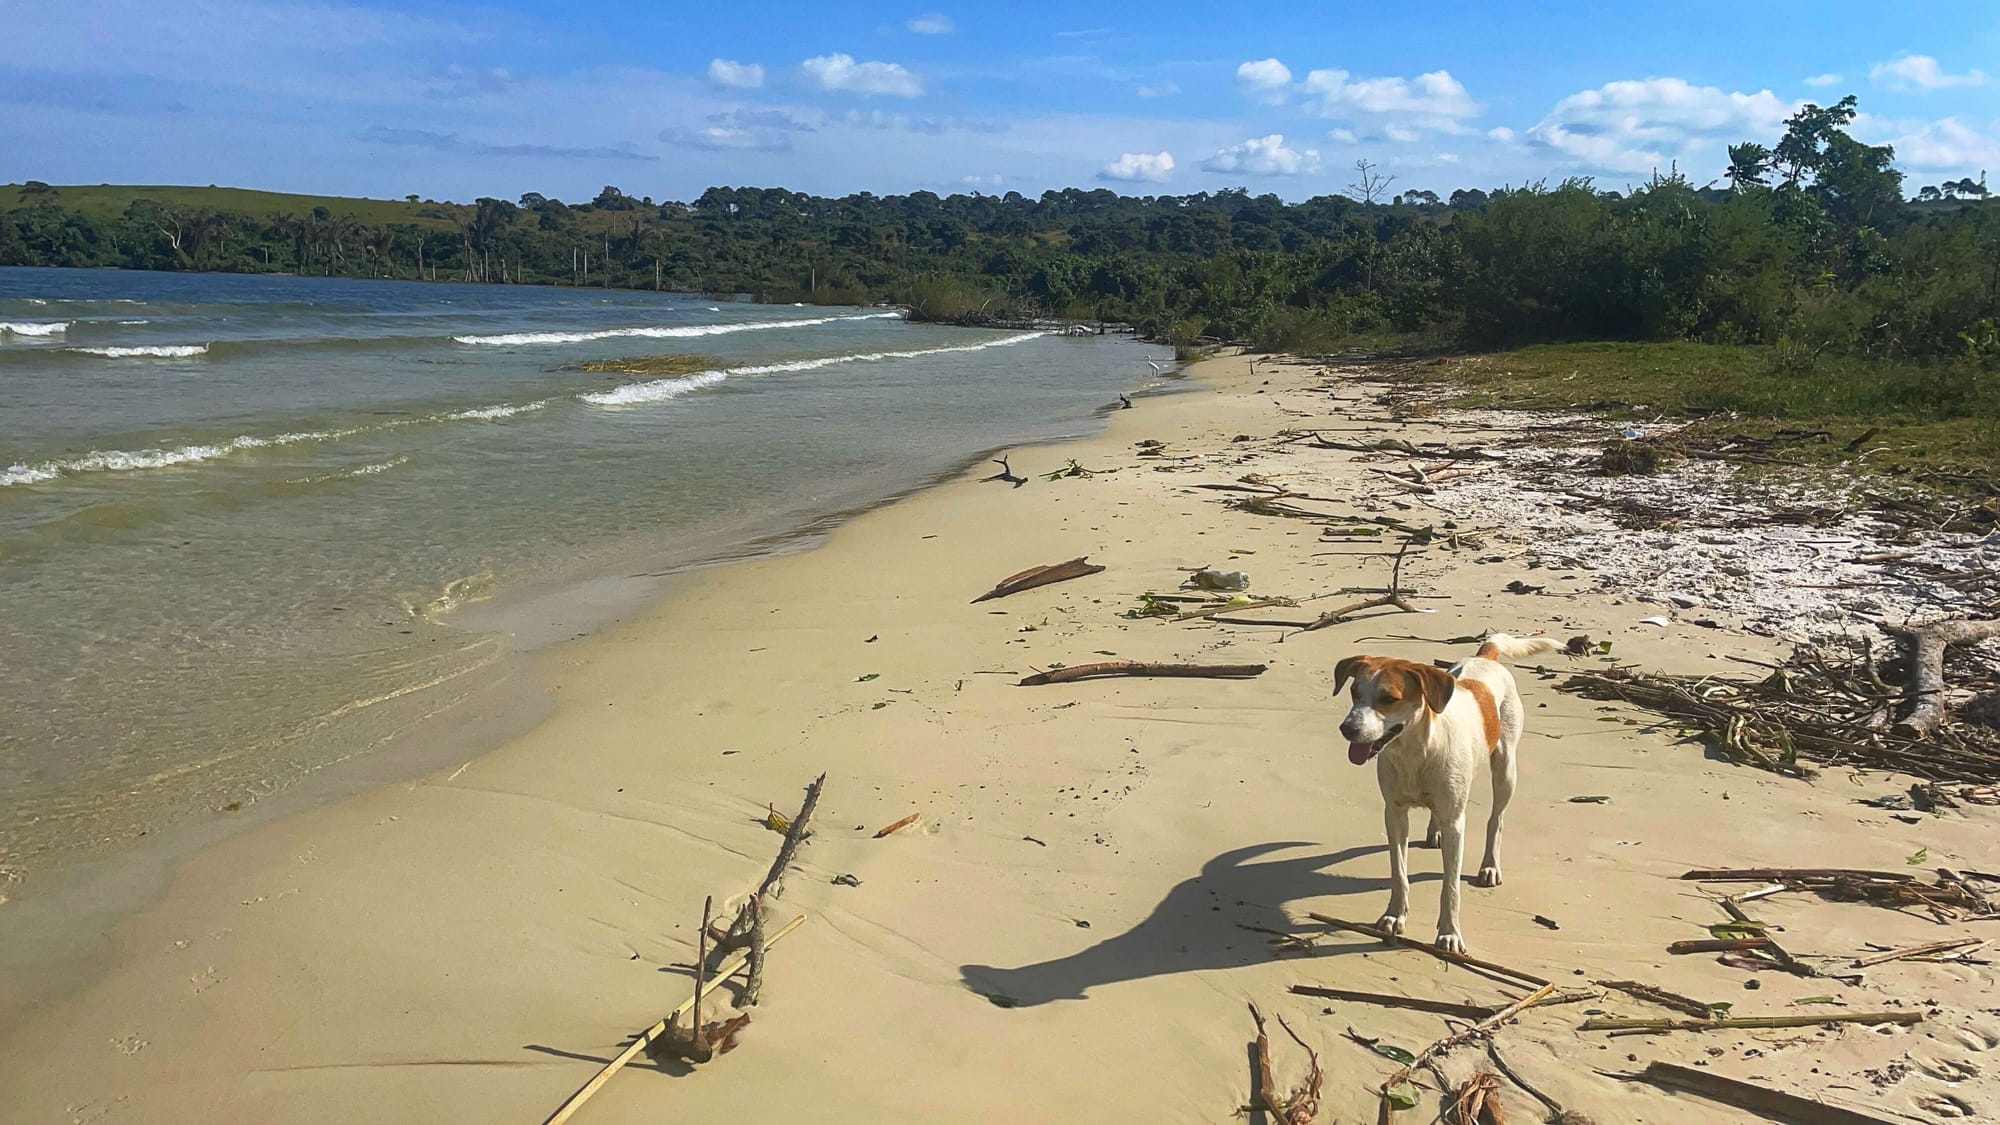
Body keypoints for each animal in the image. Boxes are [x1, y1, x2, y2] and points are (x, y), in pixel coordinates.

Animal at [1336, 632, 1568, 944]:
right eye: (1354, 691)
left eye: (1388, 698)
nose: (1347, 729)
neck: (1416, 752)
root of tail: (1485, 655)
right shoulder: (1394, 814)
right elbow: (1399, 872)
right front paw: (1395, 915)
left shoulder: (1456, 824)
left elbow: (1451, 885)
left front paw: (1449, 933)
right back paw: (1435, 832)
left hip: (1505, 768)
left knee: (1496, 819)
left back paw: (1489, 865)